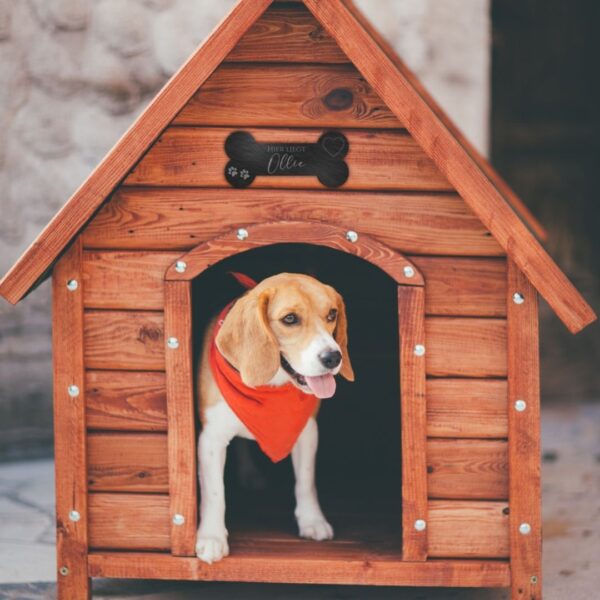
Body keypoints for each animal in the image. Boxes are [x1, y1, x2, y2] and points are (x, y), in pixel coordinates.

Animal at [195, 274, 354, 564]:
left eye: (332, 314)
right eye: (290, 319)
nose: (333, 357)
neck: (269, 385)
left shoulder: (307, 431)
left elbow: (306, 481)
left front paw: (312, 520)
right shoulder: (211, 439)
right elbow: (214, 493)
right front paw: (211, 537)